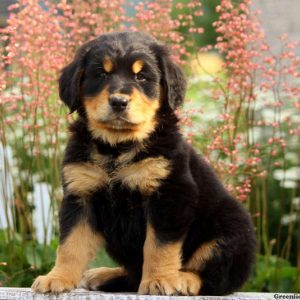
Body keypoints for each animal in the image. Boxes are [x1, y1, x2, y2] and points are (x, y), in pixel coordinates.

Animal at [31, 31, 255, 296]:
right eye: (101, 74)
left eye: (141, 76)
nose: (118, 101)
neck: (117, 148)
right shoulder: (80, 194)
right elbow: (70, 244)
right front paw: (57, 278)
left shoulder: (168, 196)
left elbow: (158, 246)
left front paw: (159, 280)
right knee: (133, 273)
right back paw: (105, 275)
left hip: (229, 229)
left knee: (216, 277)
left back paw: (183, 279)